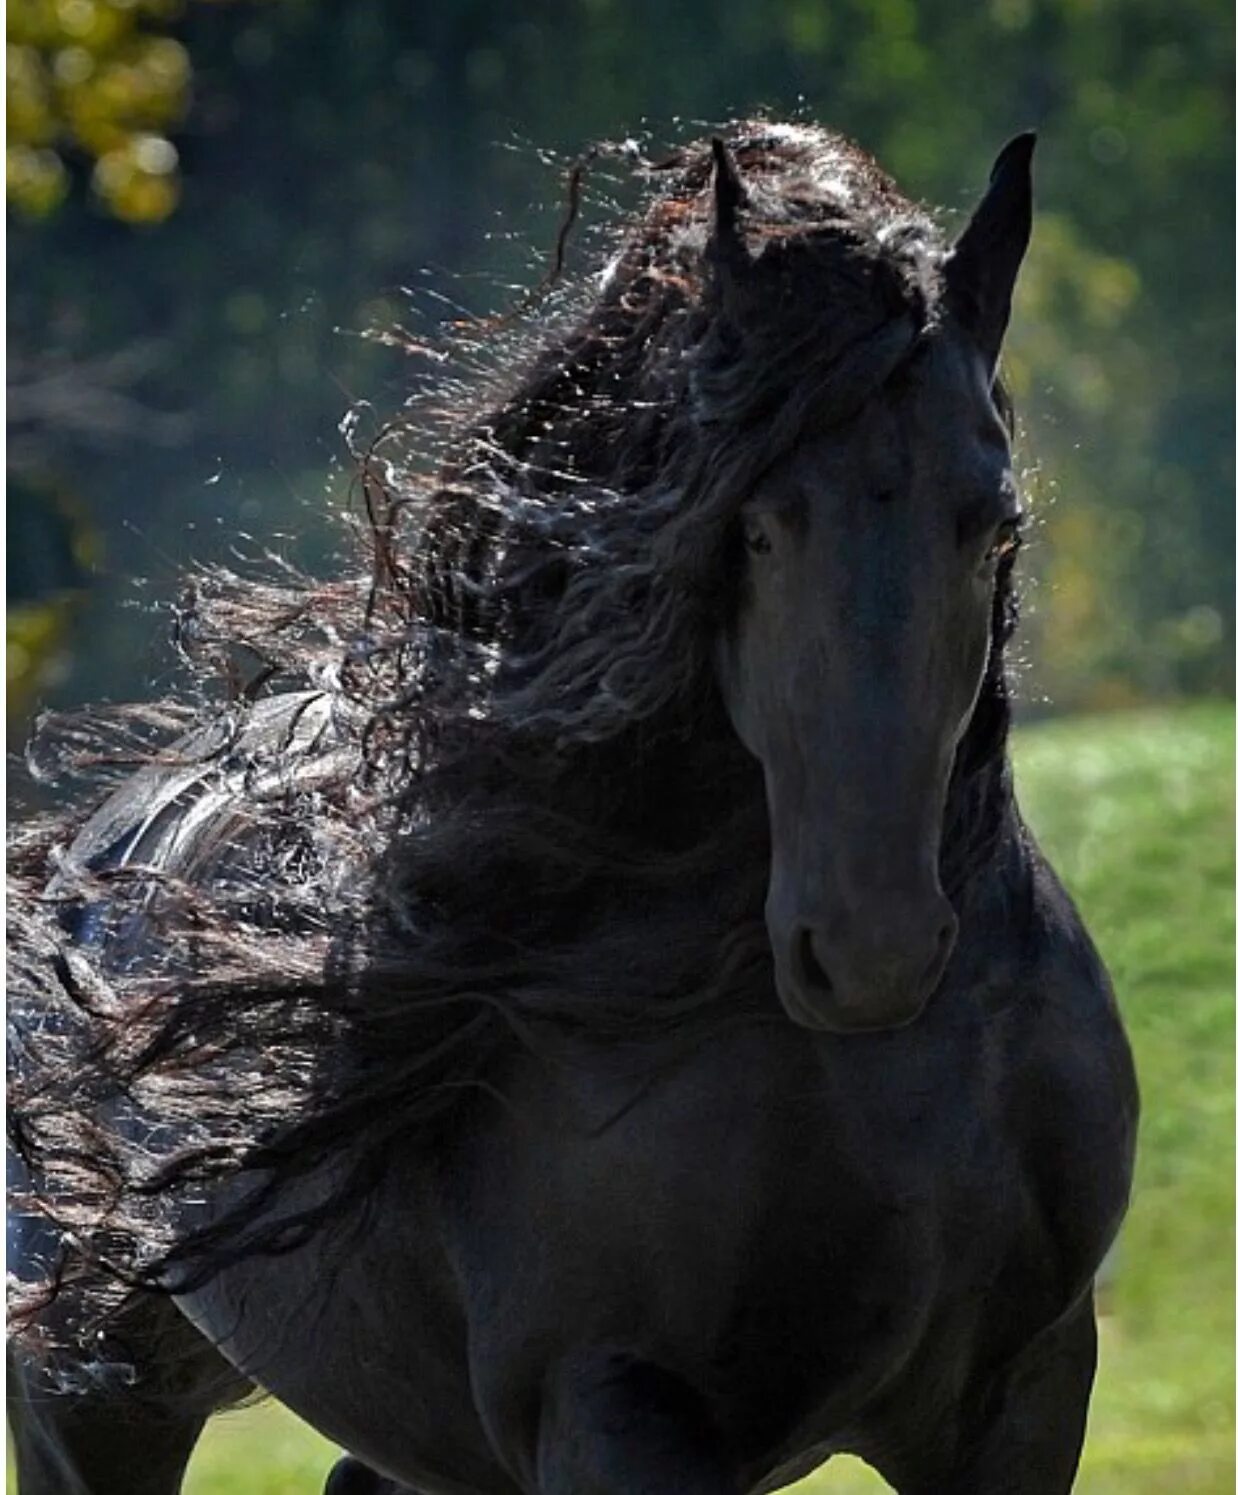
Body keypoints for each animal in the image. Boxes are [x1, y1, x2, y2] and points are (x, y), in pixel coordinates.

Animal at [9, 128, 1136, 1495]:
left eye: (991, 525)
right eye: (755, 529)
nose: (868, 949)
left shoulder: (1020, 1396)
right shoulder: (615, 1407)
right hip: (88, 1399)